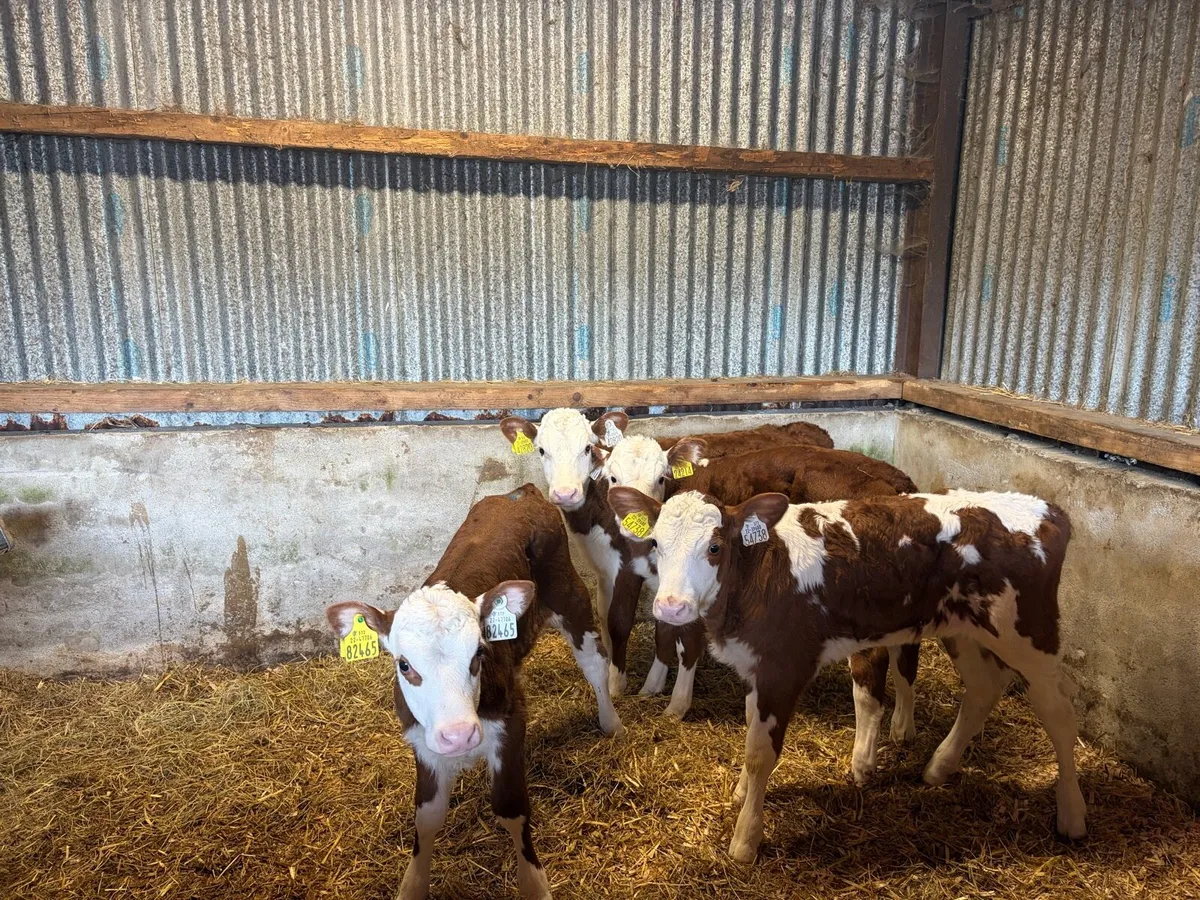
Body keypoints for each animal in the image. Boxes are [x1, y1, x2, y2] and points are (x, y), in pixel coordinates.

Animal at [325, 484, 621, 900]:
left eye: (478, 654)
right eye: (404, 664)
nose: (459, 735)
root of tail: (521, 492)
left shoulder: (510, 721)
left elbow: (511, 807)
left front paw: (534, 884)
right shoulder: (422, 741)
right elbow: (427, 816)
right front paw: (413, 884)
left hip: (569, 592)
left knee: (594, 663)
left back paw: (612, 723)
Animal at [498, 410, 830, 698]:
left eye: (587, 448)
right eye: (542, 450)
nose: (565, 493)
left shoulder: (636, 569)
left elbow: (624, 620)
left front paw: (622, 684)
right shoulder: (606, 568)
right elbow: (608, 616)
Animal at [602, 436, 923, 783]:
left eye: (661, 477)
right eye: (612, 477)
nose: (632, 529)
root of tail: (895, 481)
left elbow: (687, 642)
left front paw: (677, 704)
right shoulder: (667, 587)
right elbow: (657, 629)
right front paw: (650, 686)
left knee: (871, 667)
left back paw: (862, 761)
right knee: (906, 654)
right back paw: (903, 728)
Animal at [607, 486, 1085, 862]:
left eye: (714, 547)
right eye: (655, 543)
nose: (671, 607)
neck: (758, 573)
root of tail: (1047, 509)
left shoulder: (784, 667)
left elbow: (761, 753)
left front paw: (745, 839)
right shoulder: (755, 667)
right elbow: (749, 732)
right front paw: (742, 793)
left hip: (1032, 634)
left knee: (1060, 712)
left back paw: (1072, 814)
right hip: (964, 628)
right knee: (985, 687)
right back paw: (938, 767)